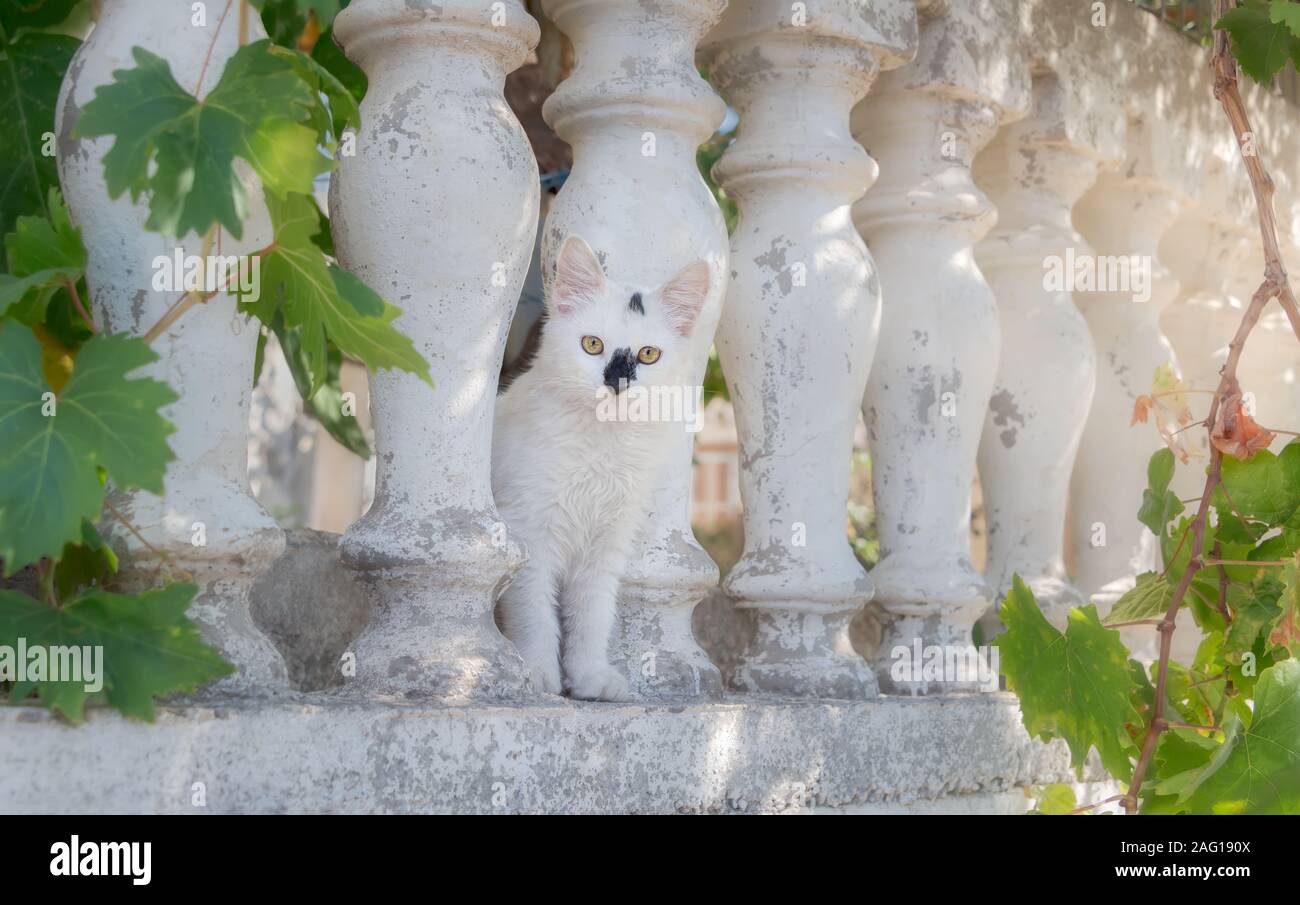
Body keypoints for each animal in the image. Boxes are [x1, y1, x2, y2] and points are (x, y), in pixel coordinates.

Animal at [491, 232, 712, 702]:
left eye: (648, 354)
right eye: (592, 344)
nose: (617, 381)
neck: (601, 450)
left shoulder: (607, 545)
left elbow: (592, 618)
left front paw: (589, 677)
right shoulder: (530, 537)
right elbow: (535, 616)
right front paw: (540, 676)